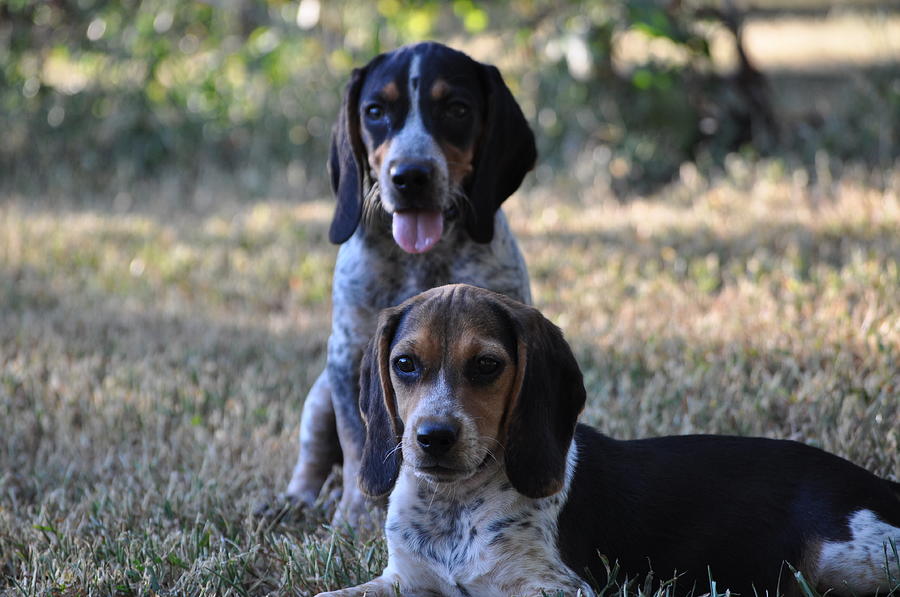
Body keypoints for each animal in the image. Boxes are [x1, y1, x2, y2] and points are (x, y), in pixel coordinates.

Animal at [280, 44, 536, 524]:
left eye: (457, 109)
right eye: (375, 111)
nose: (411, 176)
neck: (421, 258)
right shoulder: (346, 354)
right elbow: (356, 441)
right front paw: (356, 515)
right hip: (320, 394)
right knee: (313, 457)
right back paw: (296, 500)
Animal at [314, 284, 900, 596]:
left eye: (486, 366)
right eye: (405, 365)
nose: (433, 438)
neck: (454, 505)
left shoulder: (554, 587)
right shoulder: (404, 580)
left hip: (844, 560)